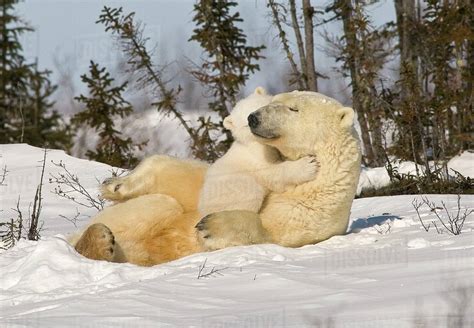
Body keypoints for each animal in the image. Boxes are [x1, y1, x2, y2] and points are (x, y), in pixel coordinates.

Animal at [71, 90, 360, 266]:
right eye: (274, 100)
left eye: (293, 108)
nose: (254, 118)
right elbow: (189, 182)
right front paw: (116, 185)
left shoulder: (312, 211)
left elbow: (271, 230)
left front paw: (211, 226)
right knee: (161, 204)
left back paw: (100, 242)